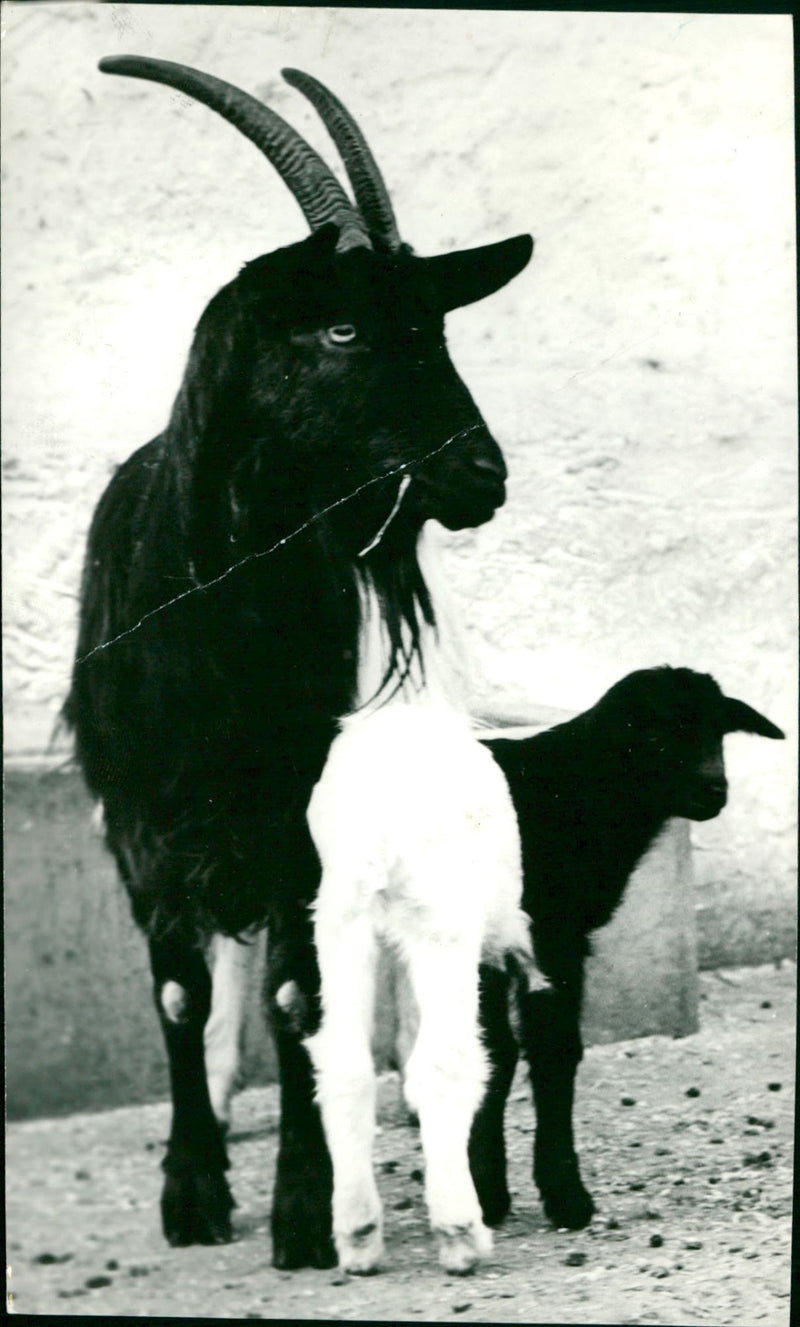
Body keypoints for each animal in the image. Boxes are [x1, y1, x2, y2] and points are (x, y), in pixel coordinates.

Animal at [306, 699, 547, 1275]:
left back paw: (358, 1234)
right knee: (443, 1065)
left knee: (344, 1065)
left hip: (341, 924)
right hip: (443, 923)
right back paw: (460, 1231)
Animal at [467, 666, 784, 1231]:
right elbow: (530, 1051)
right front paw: (552, 1194)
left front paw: (496, 1190)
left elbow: (518, 1051)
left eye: (719, 731)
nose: (714, 790)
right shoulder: (533, 936)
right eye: (653, 734)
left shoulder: (547, 941)